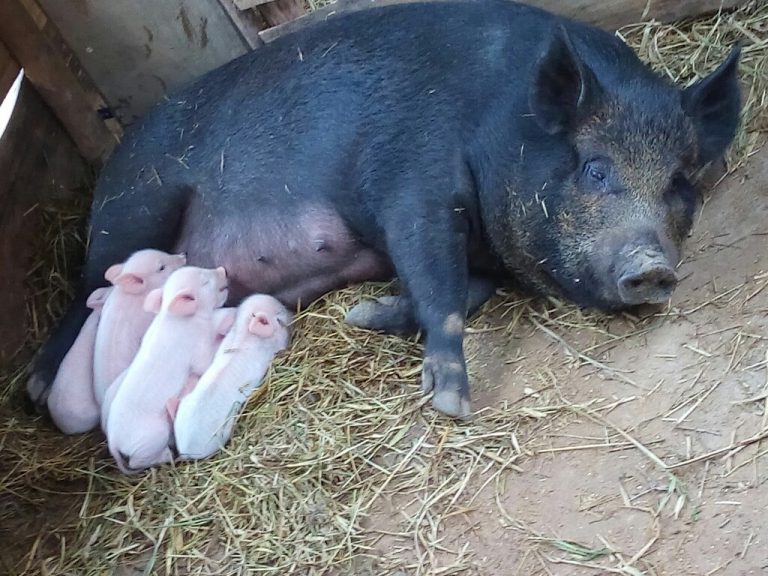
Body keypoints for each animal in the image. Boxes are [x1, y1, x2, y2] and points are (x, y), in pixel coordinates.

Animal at [104, 266, 230, 474]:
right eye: (205, 282)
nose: (221, 269)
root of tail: (113, 440)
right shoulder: (196, 347)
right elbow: (203, 364)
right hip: (154, 436)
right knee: (137, 462)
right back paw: (168, 455)